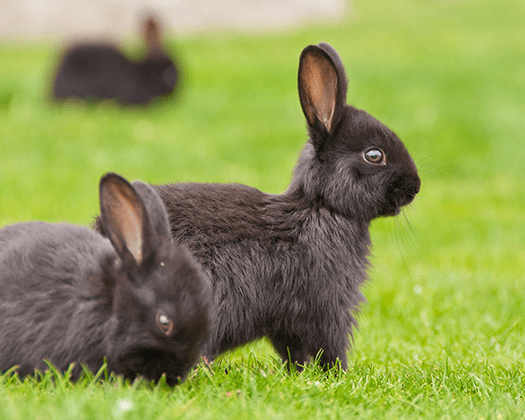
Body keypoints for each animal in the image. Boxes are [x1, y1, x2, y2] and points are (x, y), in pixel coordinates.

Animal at [95, 42, 422, 370]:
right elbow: (329, 344)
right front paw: (338, 372)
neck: (321, 208)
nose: (415, 187)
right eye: (374, 155)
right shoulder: (326, 306)